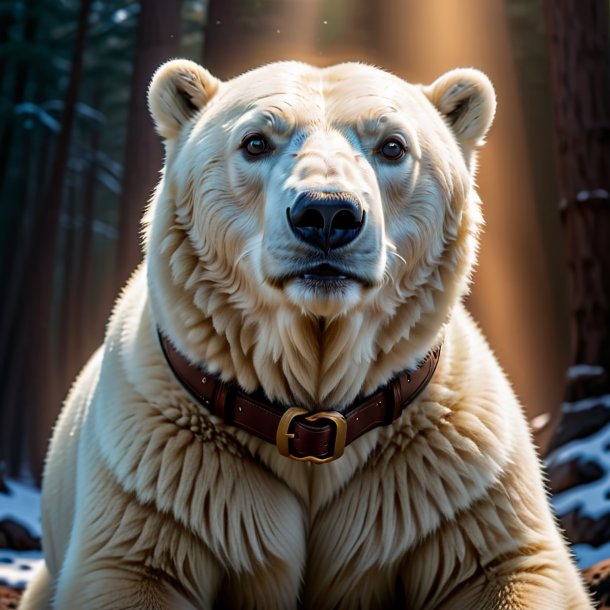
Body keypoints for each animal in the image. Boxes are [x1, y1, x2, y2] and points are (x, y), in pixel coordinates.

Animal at [20, 58, 588, 608]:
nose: (327, 213)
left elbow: (508, 565)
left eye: (393, 145)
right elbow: (135, 568)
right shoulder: (163, 472)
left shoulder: (453, 471)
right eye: (255, 141)